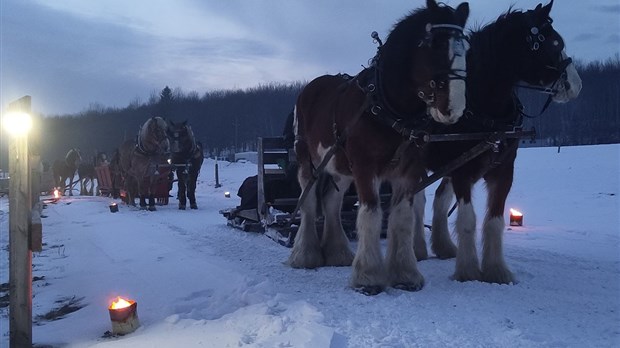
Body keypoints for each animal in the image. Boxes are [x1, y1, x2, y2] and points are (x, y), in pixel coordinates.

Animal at [290, 0, 470, 296]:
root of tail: (310, 88)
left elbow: (402, 216)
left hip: (340, 167)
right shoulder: (365, 167)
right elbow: (371, 214)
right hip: (308, 160)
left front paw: (405, 274)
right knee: (309, 201)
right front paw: (368, 277)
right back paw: (305, 255)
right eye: (434, 44)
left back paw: (338, 253)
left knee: (331, 202)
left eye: (465, 47)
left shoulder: (409, 170)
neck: (388, 108)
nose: (453, 108)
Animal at [416, 0, 580, 282]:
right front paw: (468, 270)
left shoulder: (502, 170)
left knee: (436, 198)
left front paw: (496, 270)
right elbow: (468, 219)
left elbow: (494, 220)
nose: (575, 85)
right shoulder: (463, 172)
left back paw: (443, 245)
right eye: (554, 44)